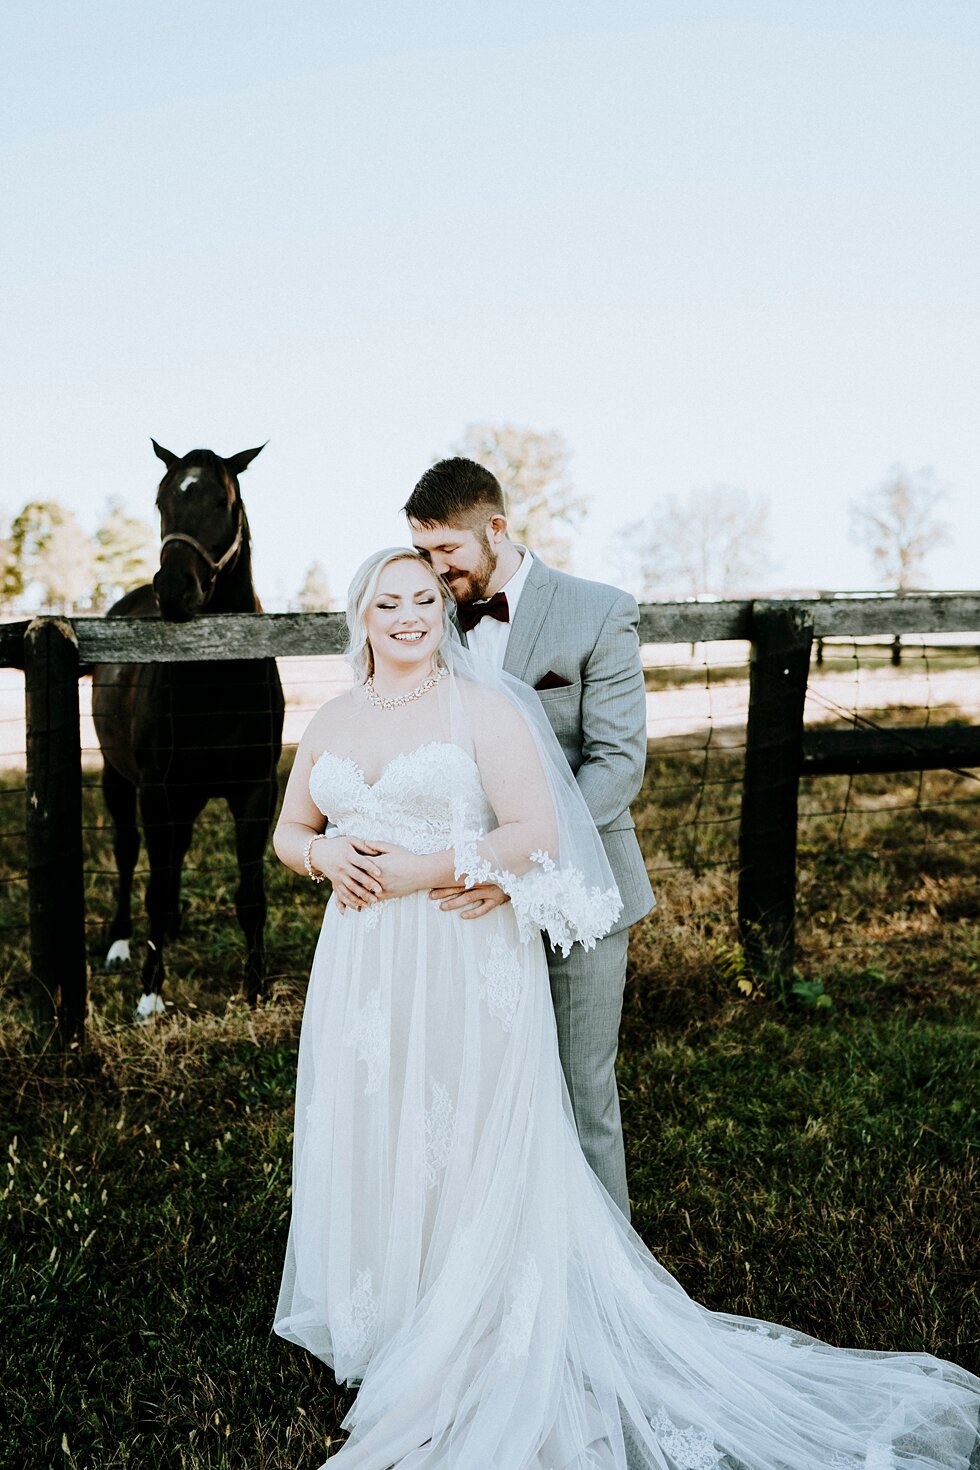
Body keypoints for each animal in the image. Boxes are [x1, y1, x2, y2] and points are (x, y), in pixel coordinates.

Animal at [92, 441, 283, 1017]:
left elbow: (250, 895)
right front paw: (150, 995)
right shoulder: (157, 790)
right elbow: (155, 887)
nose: (174, 590)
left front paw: (255, 987)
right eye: (161, 501)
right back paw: (119, 946)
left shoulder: (256, 791)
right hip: (120, 781)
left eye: (224, 501)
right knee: (130, 854)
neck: (217, 672)